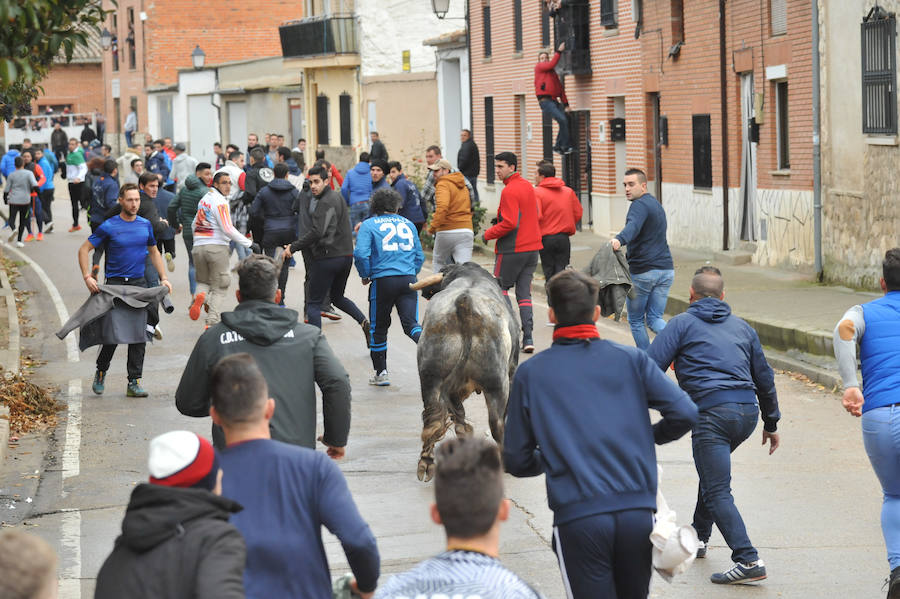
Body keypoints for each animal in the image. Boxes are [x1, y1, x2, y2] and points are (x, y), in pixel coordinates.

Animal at [408, 264, 520, 482]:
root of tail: (464, 303)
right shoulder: (511, 372)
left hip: (430, 378)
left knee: (433, 420)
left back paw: (427, 463)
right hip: (498, 384)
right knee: (497, 423)